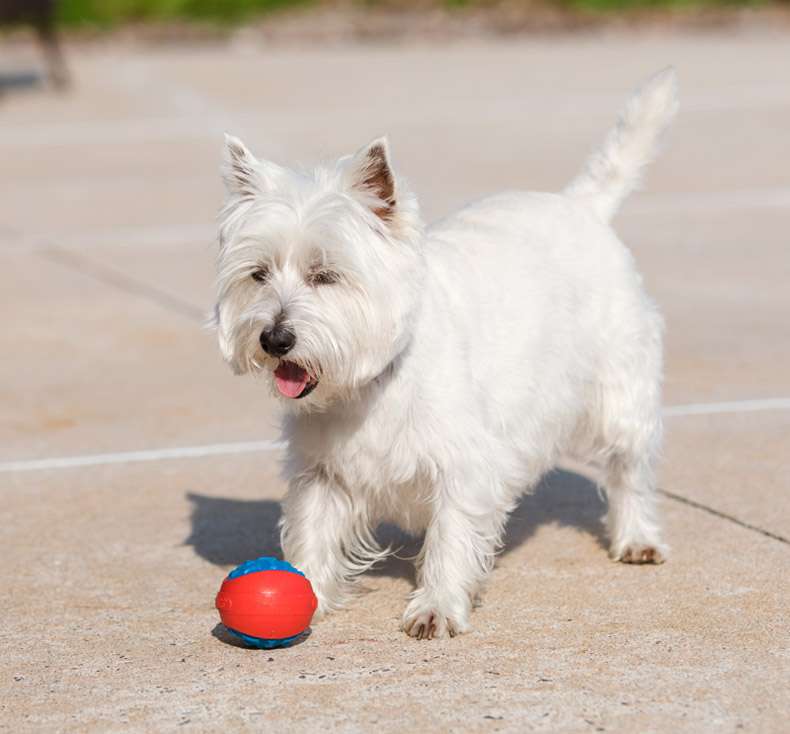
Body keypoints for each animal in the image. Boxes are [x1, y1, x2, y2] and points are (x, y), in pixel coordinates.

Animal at [213, 72, 676, 640]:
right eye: (258, 274)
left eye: (326, 274)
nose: (274, 339)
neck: (374, 382)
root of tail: (581, 207)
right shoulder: (322, 471)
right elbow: (313, 530)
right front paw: (311, 594)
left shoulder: (465, 465)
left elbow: (451, 537)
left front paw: (435, 607)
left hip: (620, 390)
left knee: (630, 468)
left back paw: (637, 538)